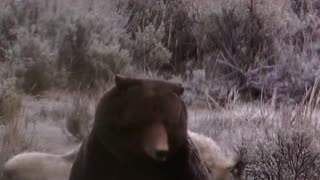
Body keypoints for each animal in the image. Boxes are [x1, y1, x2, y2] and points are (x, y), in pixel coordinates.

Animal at [68, 74, 210, 180]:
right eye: (144, 120)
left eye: (169, 122)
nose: (161, 151)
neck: (139, 161)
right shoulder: (101, 155)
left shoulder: (183, 163)